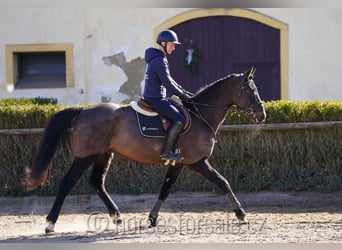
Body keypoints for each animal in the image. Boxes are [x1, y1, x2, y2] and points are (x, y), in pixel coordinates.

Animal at [24, 67, 266, 234]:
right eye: (251, 90)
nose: (262, 114)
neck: (200, 116)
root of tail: (83, 111)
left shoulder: (179, 164)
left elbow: (164, 190)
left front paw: (151, 219)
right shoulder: (198, 162)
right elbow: (223, 182)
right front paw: (241, 214)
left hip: (104, 154)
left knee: (97, 182)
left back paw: (117, 217)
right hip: (85, 156)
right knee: (67, 182)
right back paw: (50, 223)